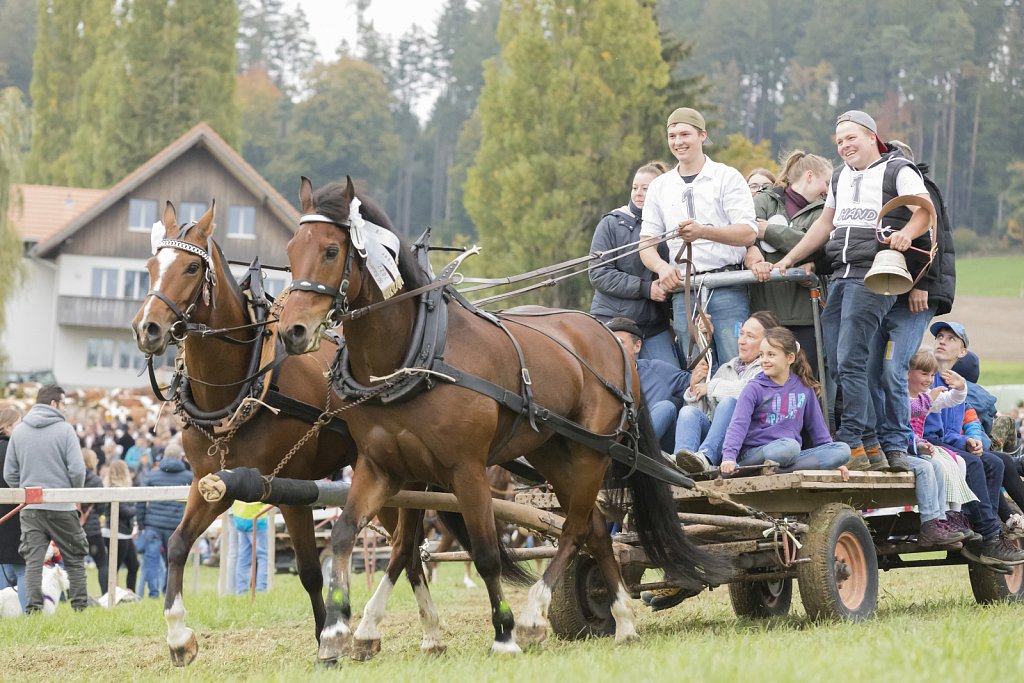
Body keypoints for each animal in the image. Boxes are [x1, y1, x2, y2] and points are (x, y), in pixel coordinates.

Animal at [129, 204, 444, 667]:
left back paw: (402, 630)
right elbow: (177, 544)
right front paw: (179, 637)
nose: (147, 329)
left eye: (191, 267)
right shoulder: (213, 483)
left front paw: (327, 635)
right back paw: (416, 633)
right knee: (410, 551)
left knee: (406, 546)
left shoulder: (290, 487)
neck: (243, 382)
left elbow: (311, 570)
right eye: (151, 267)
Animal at [280, 176, 729, 663]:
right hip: (554, 453)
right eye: (291, 249)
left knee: (574, 527)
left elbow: (485, 553)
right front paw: (336, 631)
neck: (415, 354)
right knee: (594, 528)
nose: (292, 332)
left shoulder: (467, 469)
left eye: (330, 250)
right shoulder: (383, 467)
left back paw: (535, 616)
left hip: (591, 453)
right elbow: (348, 534)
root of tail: (609, 337)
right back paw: (623, 622)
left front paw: (504, 634)